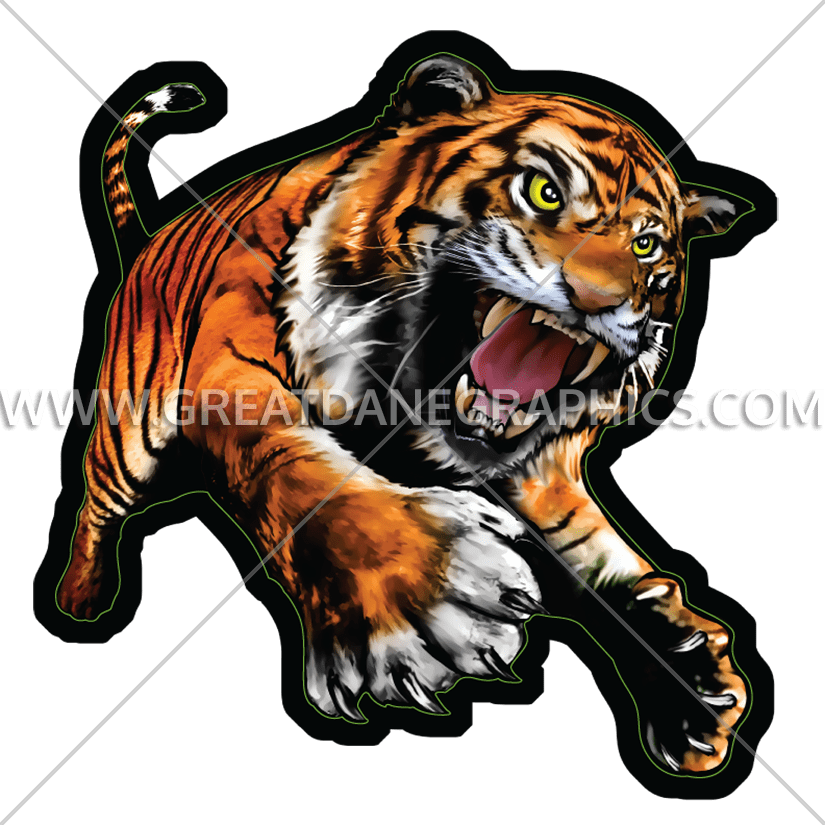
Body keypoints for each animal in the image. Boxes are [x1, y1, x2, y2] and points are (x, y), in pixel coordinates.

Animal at [53, 54, 756, 777]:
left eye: (646, 247)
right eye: (544, 193)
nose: (597, 298)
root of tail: (151, 237)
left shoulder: (533, 473)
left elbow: (596, 555)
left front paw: (689, 685)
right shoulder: (232, 375)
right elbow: (302, 475)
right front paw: (426, 597)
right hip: (125, 434)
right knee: (95, 507)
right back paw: (81, 600)